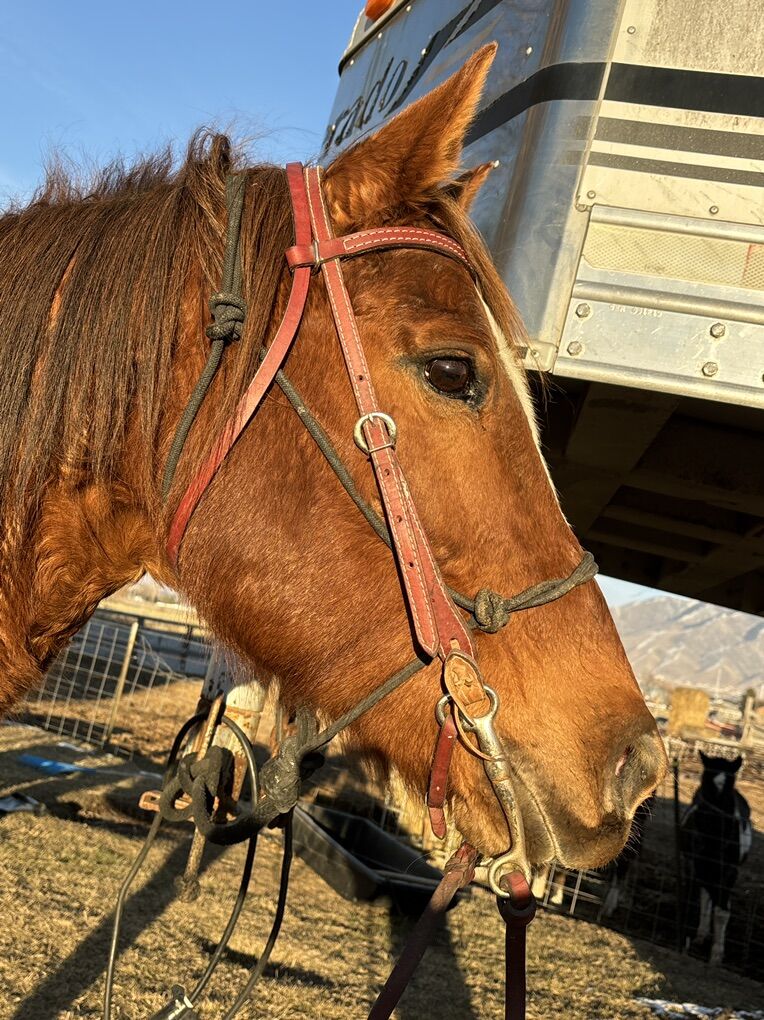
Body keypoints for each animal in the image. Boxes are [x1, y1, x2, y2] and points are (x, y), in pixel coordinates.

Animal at [681, 751, 752, 965]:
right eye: (705, 782)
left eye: (729, 786)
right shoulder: (696, 864)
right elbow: (700, 899)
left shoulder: (729, 871)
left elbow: (722, 911)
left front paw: (717, 954)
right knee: (705, 896)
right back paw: (701, 934)